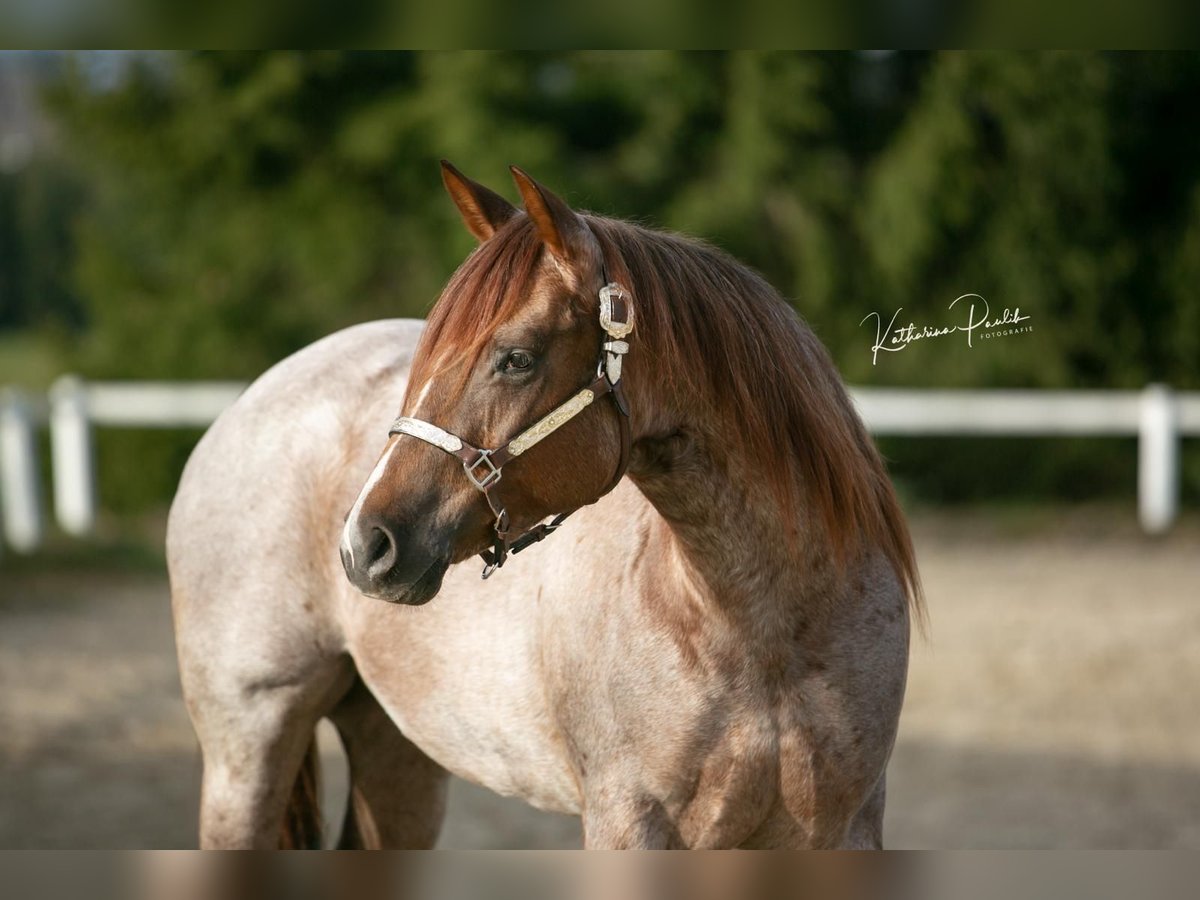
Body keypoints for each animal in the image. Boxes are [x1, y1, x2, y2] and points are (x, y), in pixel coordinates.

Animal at [166, 164, 916, 854]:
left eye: (517, 359)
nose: (365, 545)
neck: (762, 633)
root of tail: (249, 400)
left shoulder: (841, 829)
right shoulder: (627, 822)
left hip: (397, 751)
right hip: (246, 749)